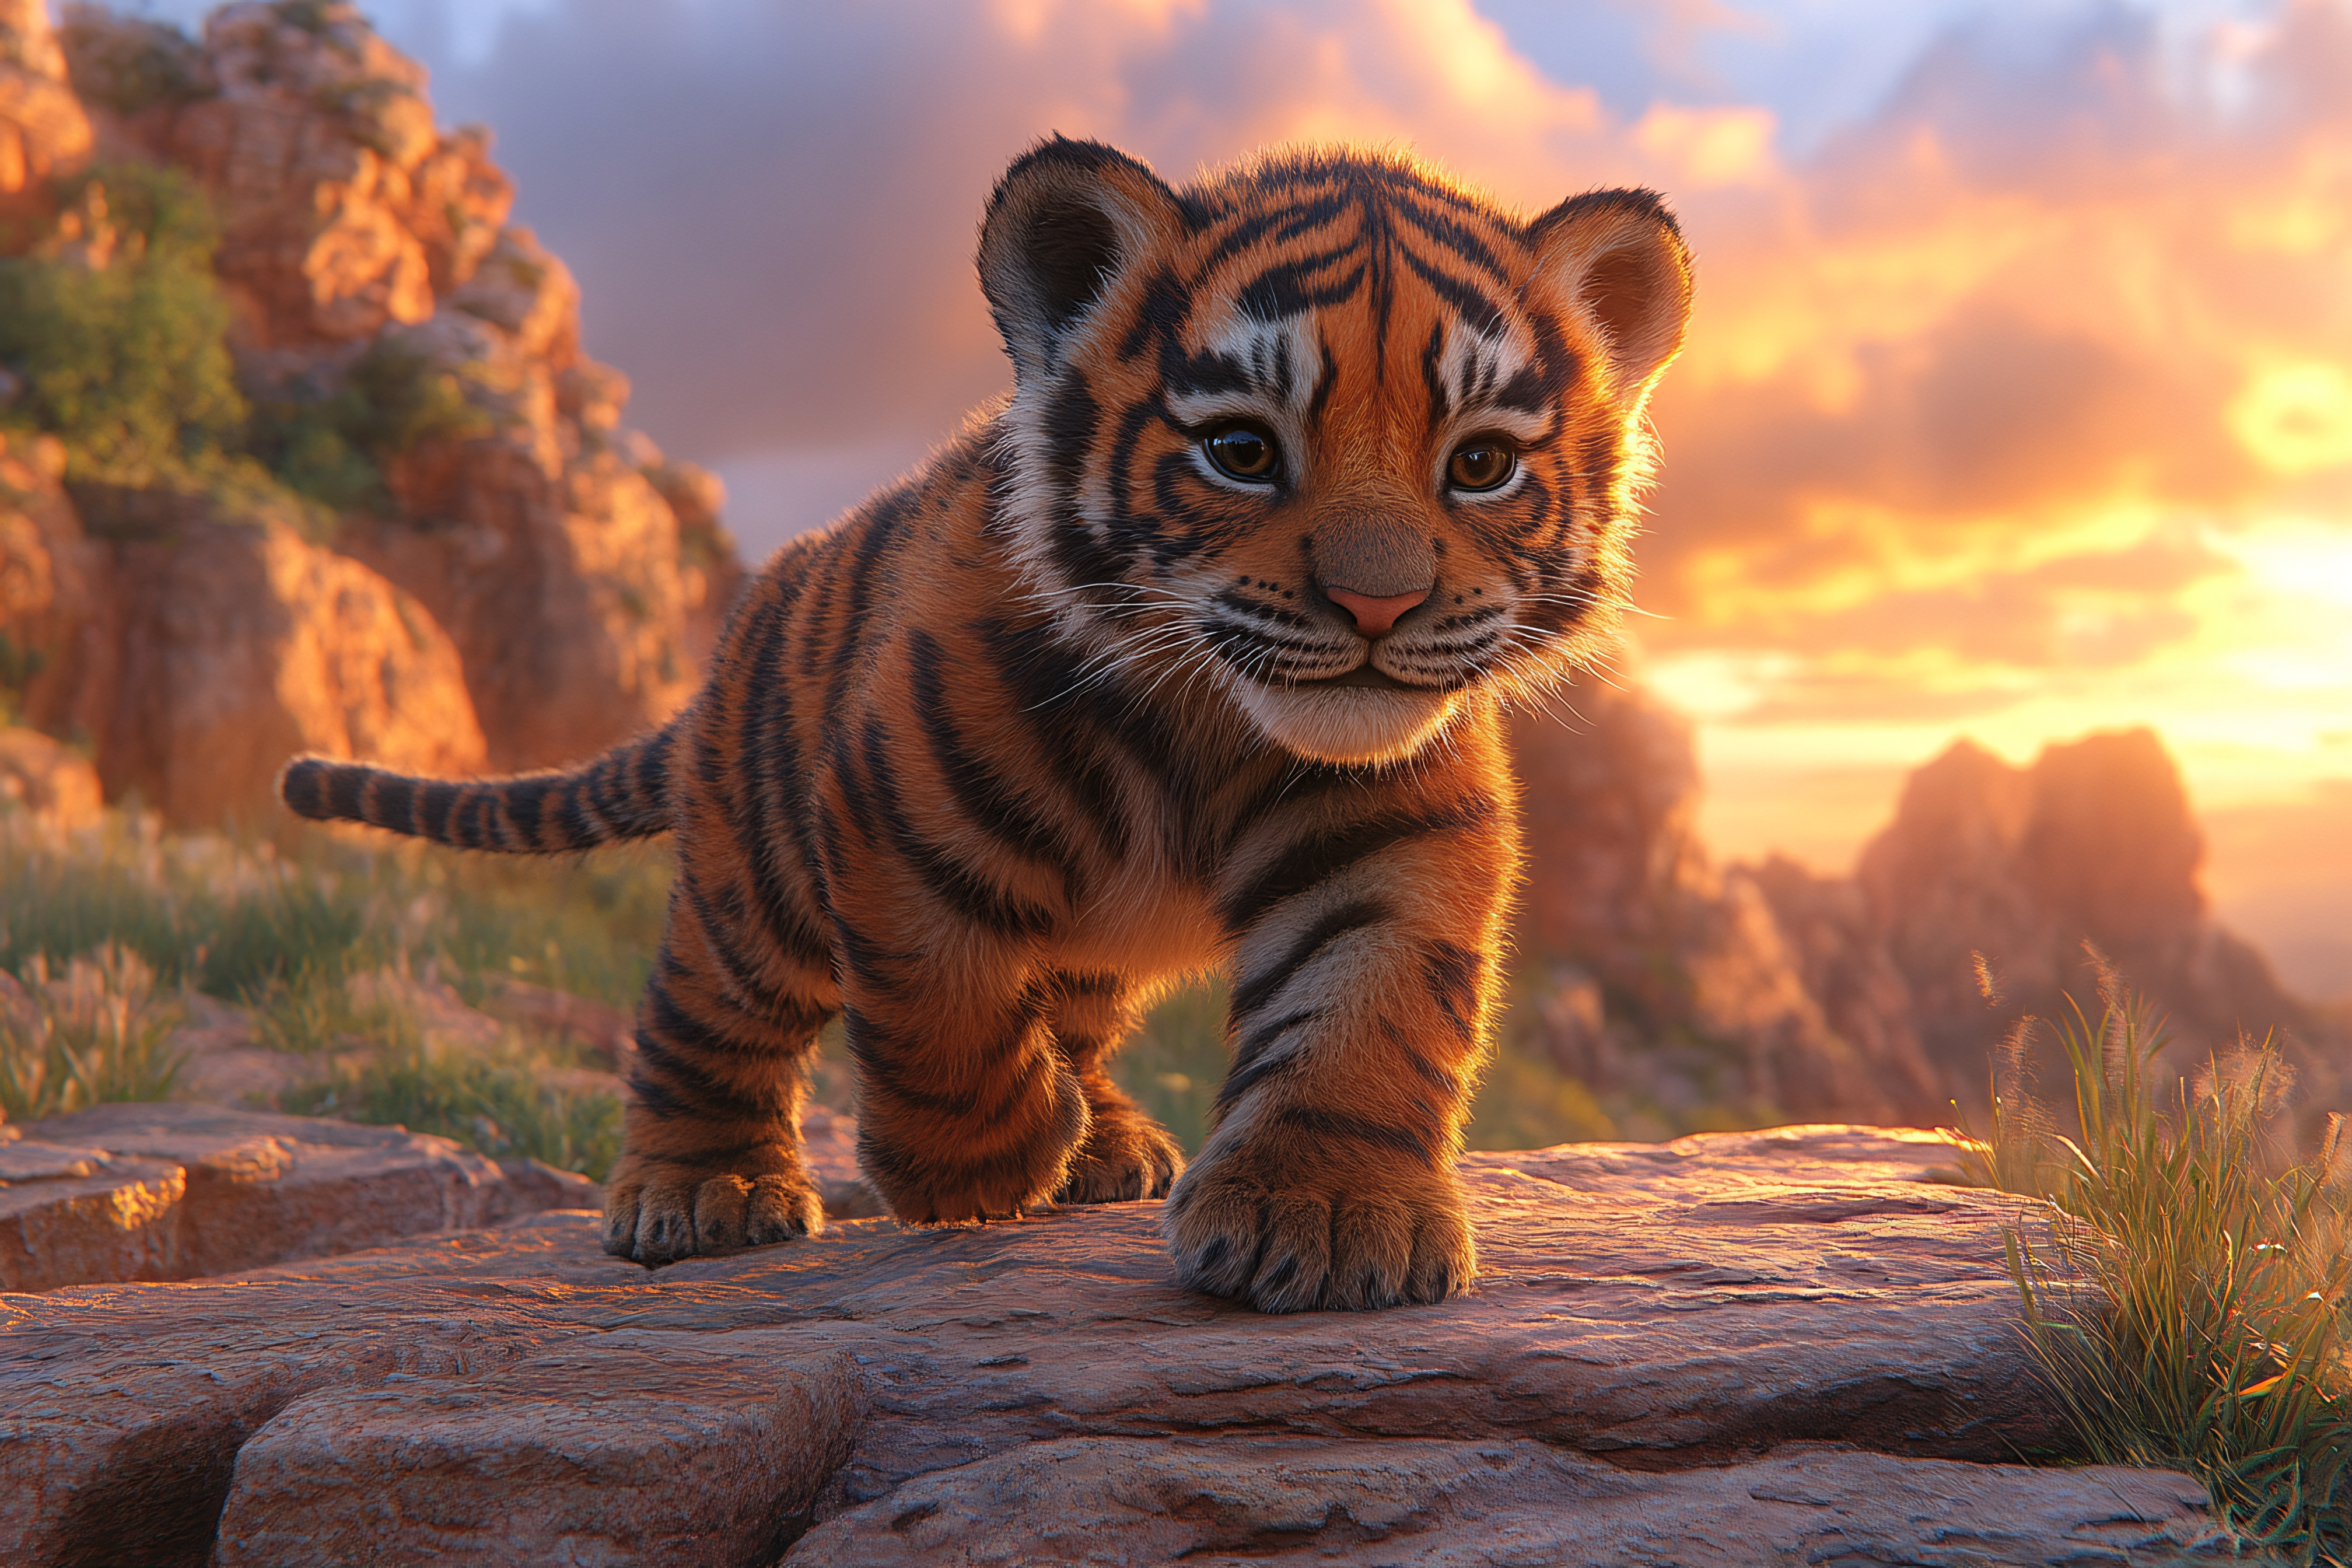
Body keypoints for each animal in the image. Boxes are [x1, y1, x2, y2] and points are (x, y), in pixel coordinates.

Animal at [280, 137, 1694, 1314]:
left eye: (1480, 465)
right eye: (1240, 450)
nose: (1379, 604)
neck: (1210, 723)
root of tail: (737, 634)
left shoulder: (1393, 826)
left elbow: (1366, 1007)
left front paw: (1328, 1213)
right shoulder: (901, 810)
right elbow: (939, 1008)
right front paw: (986, 1162)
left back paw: (1108, 1140)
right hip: (754, 885)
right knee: (704, 1014)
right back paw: (703, 1189)